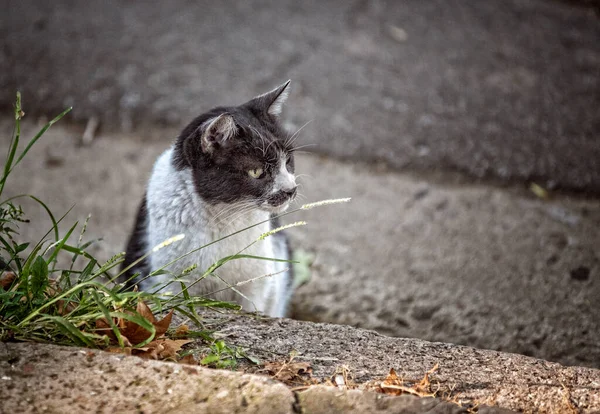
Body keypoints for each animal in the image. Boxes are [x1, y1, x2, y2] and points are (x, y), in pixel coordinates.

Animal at [120, 82, 298, 318]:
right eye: (256, 172)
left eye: (287, 161)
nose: (291, 190)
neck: (226, 217)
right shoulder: (170, 282)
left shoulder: (257, 284)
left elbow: (253, 305)